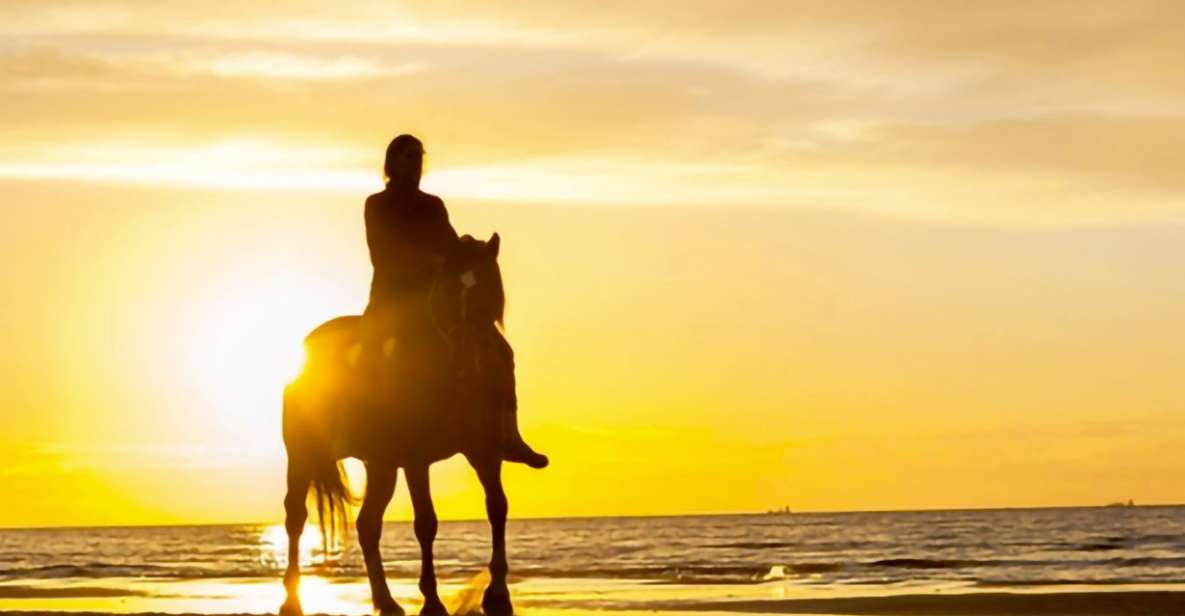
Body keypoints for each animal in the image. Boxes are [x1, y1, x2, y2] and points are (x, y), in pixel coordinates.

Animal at [282, 233, 519, 616]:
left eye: (491, 292)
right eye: (449, 292)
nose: (467, 360)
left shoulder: (484, 451)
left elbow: (497, 506)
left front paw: (498, 593)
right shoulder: (415, 458)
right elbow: (426, 523)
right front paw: (432, 600)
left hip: (380, 465)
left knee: (368, 525)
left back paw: (386, 600)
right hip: (302, 457)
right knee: (295, 517)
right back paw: (291, 598)